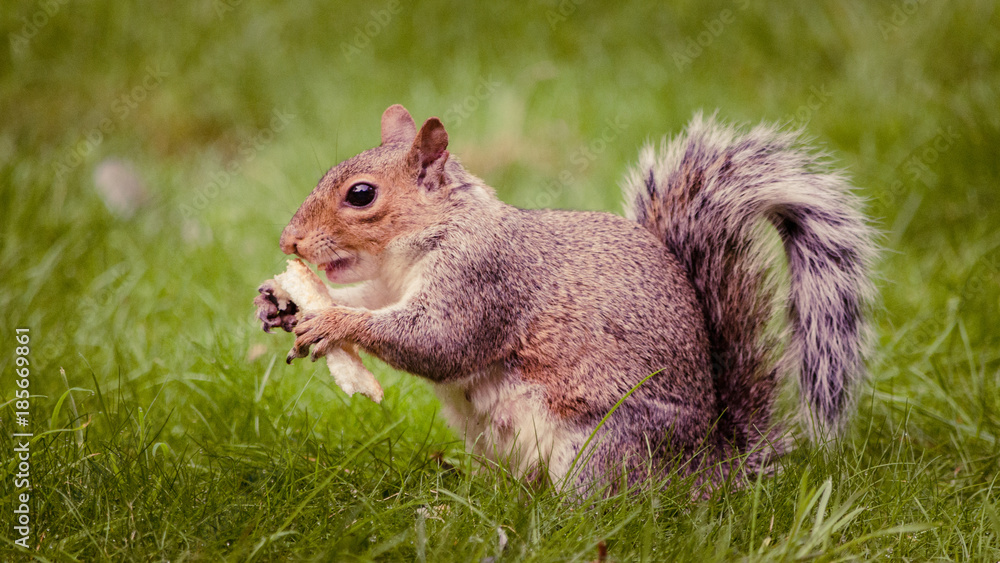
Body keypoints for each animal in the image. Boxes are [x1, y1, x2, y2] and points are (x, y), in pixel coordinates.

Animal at [254, 104, 876, 493]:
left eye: (361, 195)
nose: (288, 241)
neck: (425, 242)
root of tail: (713, 464)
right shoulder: (386, 283)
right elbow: (369, 297)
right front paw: (280, 298)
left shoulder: (484, 279)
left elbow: (438, 342)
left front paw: (333, 321)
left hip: (604, 446)